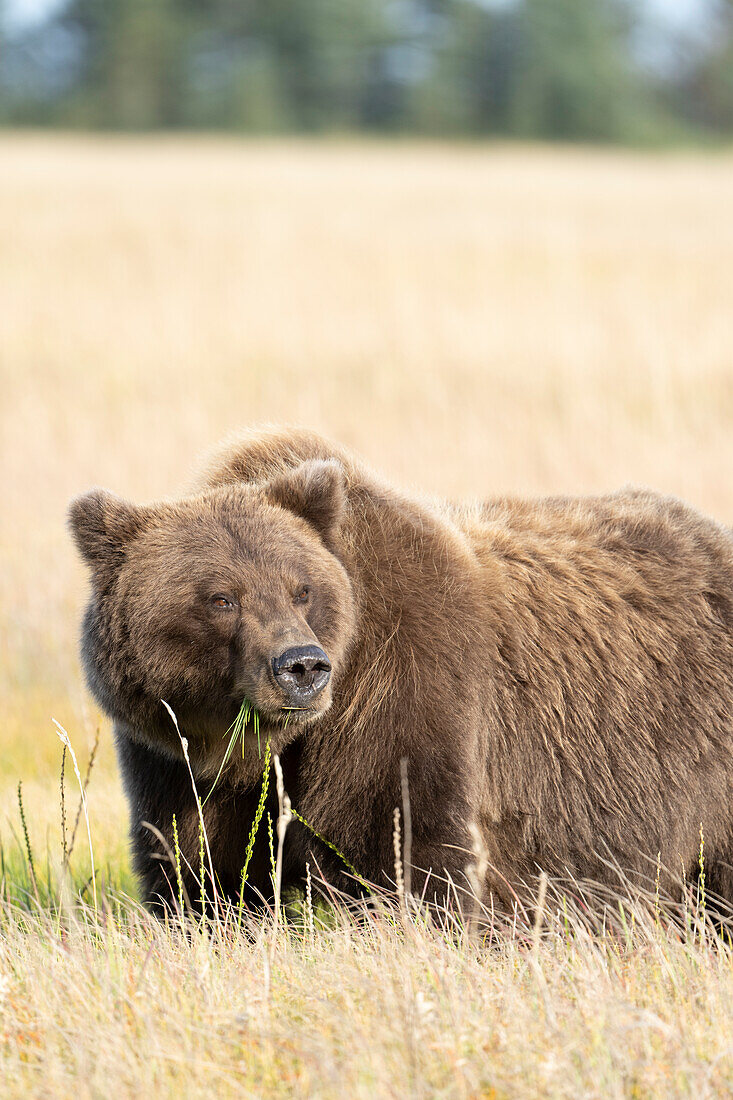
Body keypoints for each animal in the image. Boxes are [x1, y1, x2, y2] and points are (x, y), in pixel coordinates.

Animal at [68, 424, 730, 915]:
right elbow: (198, 871)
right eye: (221, 598)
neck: (265, 742)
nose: (301, 666)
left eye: (302, 589)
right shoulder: (177, 757)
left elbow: (409, 852)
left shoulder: (400, 693)